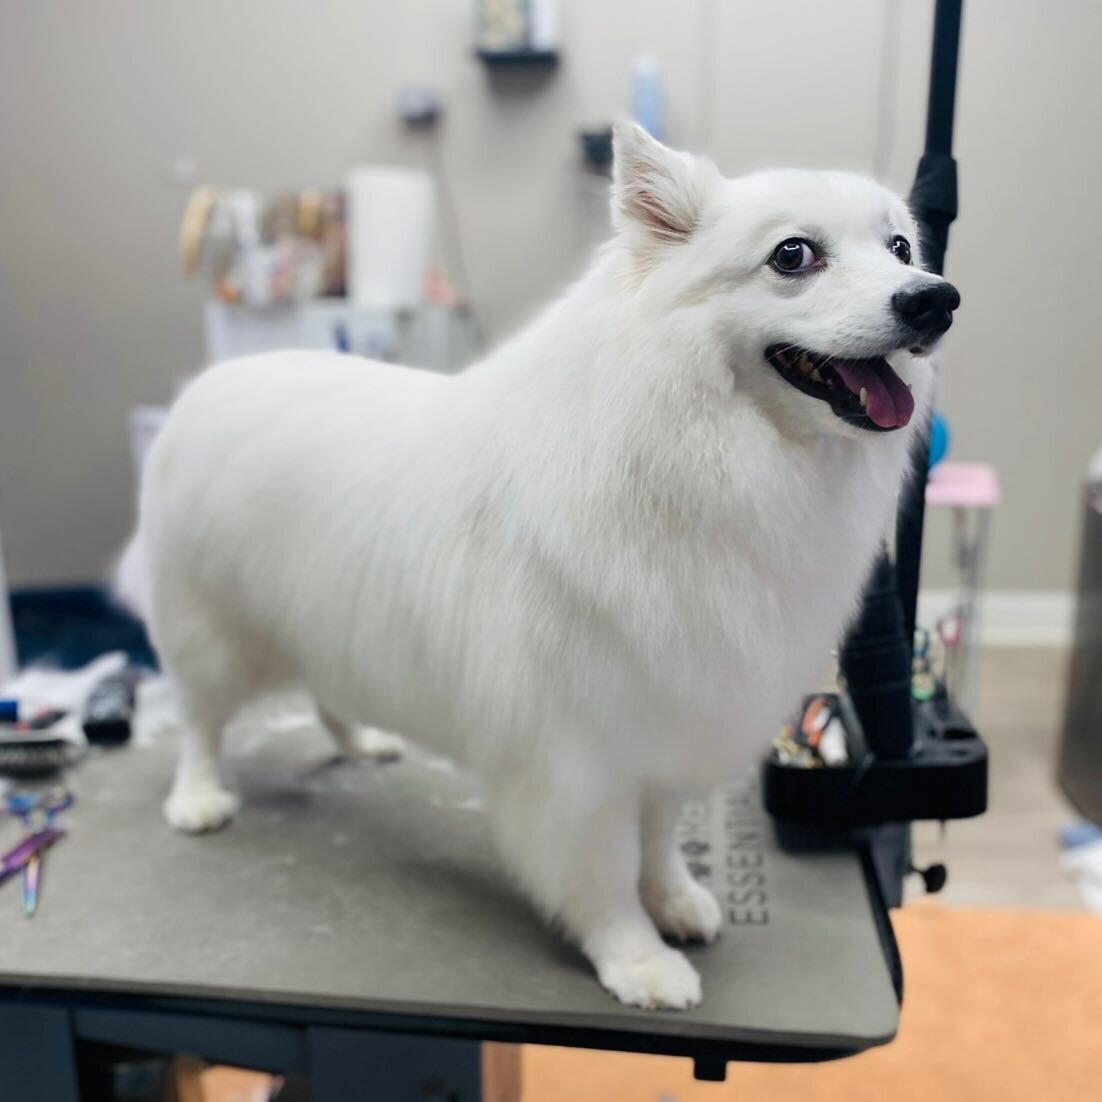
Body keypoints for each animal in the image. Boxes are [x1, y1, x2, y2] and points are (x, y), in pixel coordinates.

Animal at [120, 125, 956, 1009]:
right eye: (793, 255)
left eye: (902, 248)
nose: (934, 298)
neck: (694, 455)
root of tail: (208, 386)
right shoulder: (576, 767)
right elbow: (605, 876)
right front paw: (637, 959)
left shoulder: (666, 725)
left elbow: (659, 840)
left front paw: (675, 901)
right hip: (209, 633)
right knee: (202, 723)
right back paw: (200, 800)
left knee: (325, 694)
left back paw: (364, 741)